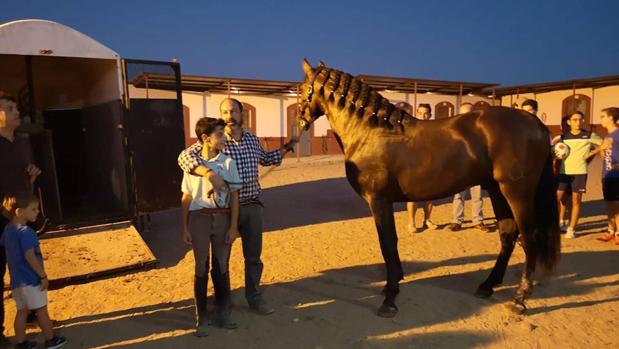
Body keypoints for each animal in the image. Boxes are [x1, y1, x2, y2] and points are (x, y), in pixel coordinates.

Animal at [296, 59, 560, 316]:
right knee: (507, 234)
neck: (370, 133)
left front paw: (390, 298)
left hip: (517, 193)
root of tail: (534, 122)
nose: (300, 120)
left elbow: (387, 244)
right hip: (497, 191)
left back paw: (519, 299)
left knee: (529, 238)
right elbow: (390, 243)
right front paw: (390, 287)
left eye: (301, 89)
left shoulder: (379, 200)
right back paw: (488, 285)